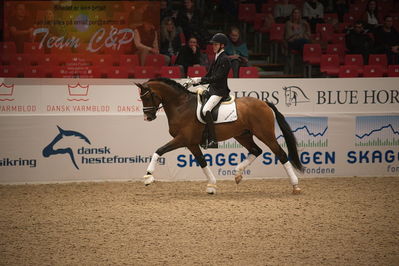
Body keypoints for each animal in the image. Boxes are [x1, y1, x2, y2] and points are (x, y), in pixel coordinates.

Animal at [136, 76, 304, 193]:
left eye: (147, 97)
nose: (148, 117)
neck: (181, 106)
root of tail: (264, 103)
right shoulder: (191, 143)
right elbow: (202, 162)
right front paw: (211, 185)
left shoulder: (183, 139)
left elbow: (159, 150)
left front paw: (148, 177)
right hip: (242, 135)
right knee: (256, 150)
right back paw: (237, 174)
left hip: (265, 134)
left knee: (281, 154)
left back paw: (295, 186)